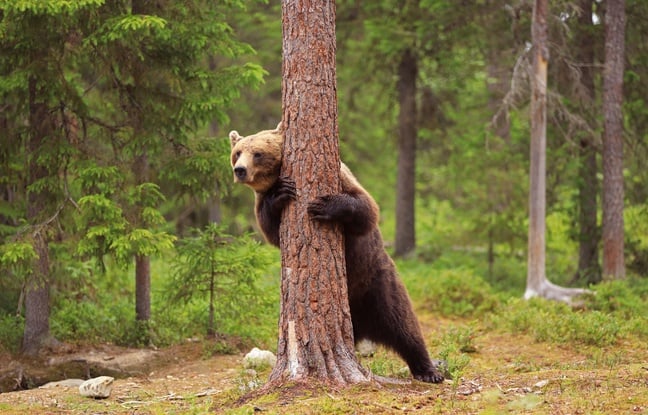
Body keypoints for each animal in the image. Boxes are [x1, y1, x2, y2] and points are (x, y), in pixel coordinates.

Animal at [228, 123, 446, 384]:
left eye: (257, 153)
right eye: (238, 152)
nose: (240, 170)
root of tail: (361, 325)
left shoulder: (344, 179)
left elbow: (366, 209)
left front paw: (325, 205)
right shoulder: (263, 203)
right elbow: (271, 228)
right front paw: (281, 192)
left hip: (378, 282)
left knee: (404, 326)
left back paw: (429, 371)